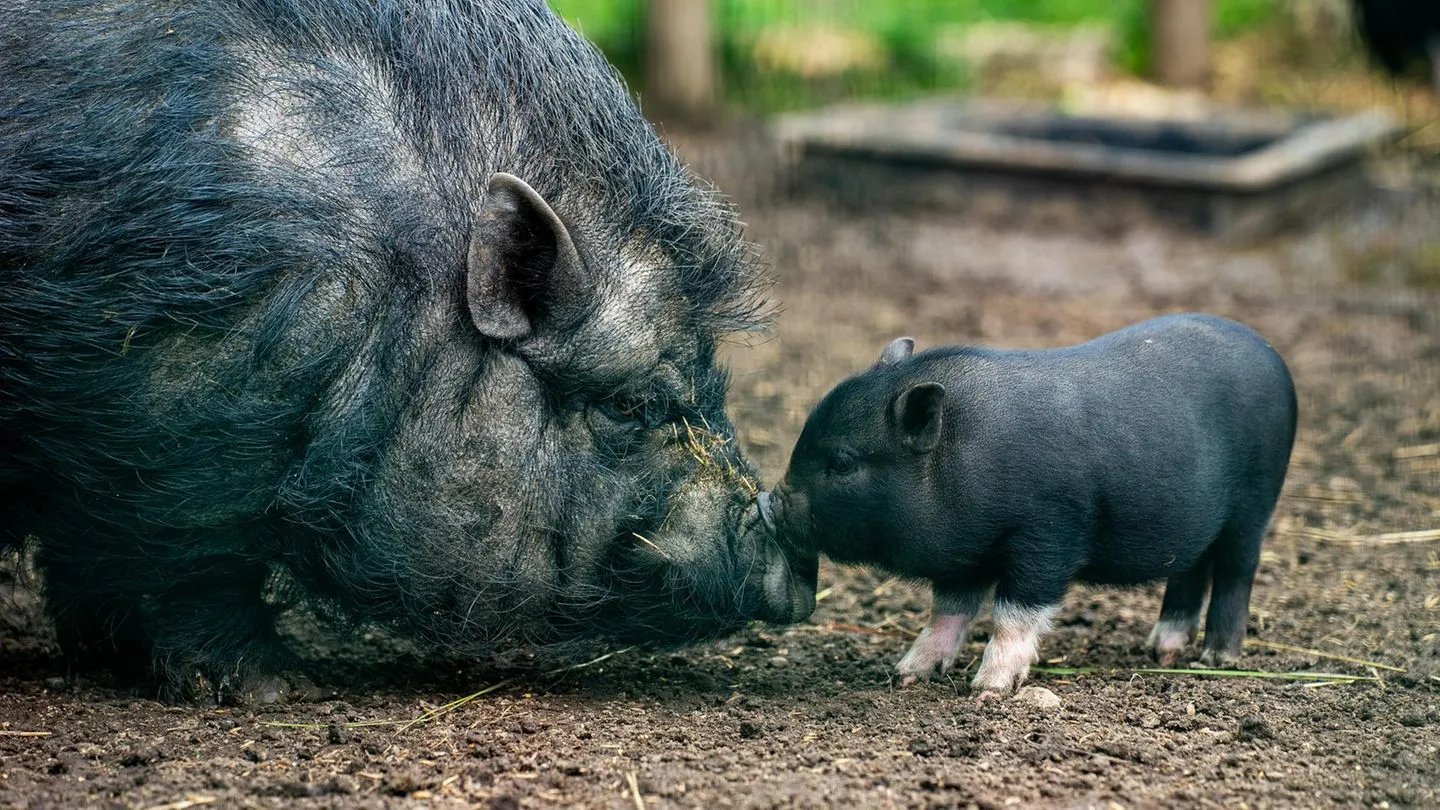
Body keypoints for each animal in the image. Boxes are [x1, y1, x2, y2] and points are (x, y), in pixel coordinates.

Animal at [0, 0, 816, 703]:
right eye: (630, 402)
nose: (800, 555)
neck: (396, 301)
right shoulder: (174, 431)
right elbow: (188, 565)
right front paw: (279, 688)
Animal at [759, 314, 1296, 696]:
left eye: (843, 462)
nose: (767, 502)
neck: (966, 458)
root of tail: (1269, 353)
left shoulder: (1049, 532)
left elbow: (1014, 611)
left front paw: (989, 691)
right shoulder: (967, 552)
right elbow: (947, 610)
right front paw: (906, 675)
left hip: (1256, 503)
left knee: (1236, 572)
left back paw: (1217, 659)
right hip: (1197, 525)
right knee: (1191, 573)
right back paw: (1160, 650)